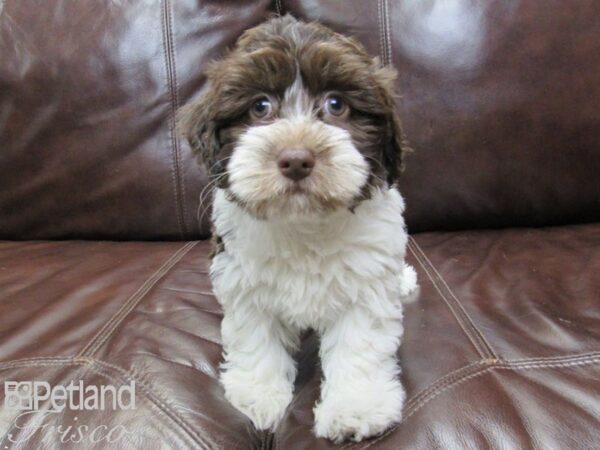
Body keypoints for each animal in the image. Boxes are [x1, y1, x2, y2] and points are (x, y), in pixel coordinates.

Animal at [180, 14, 420, 442]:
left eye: (336, 104)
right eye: (260, 106)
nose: (295, 159)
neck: (303, 222)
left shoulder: (367, 284)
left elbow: (359, 344)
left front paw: (356, 407)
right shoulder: (243, 280)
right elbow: (255, 336)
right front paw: (258, 395)